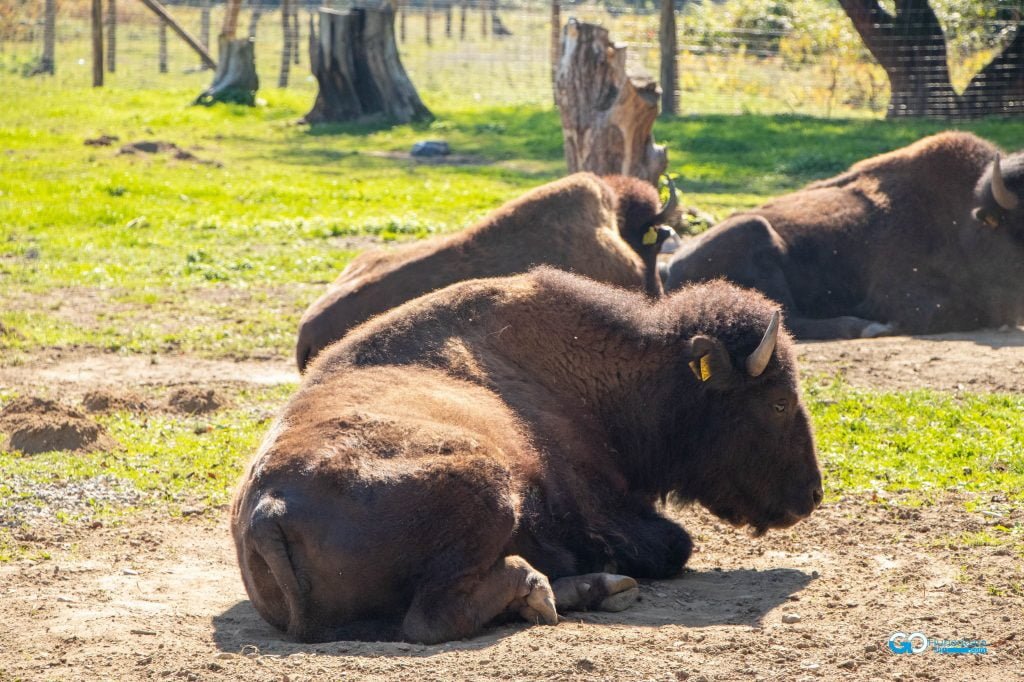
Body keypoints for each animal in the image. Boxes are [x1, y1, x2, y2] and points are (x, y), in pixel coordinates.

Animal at [232, 266, 823, 643]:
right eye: (777, 401)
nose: (812, 495)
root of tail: (269, 507)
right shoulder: (600, 507)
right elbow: (673, 546)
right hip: (487, 482)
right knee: (430, 621)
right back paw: (544, 586)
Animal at [663, 130, 1024, 337]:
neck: (966, 221)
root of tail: (671, 266)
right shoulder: (901, 296)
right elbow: (942, 313)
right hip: (754, 233)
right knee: (783, 319)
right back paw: (863, 327)